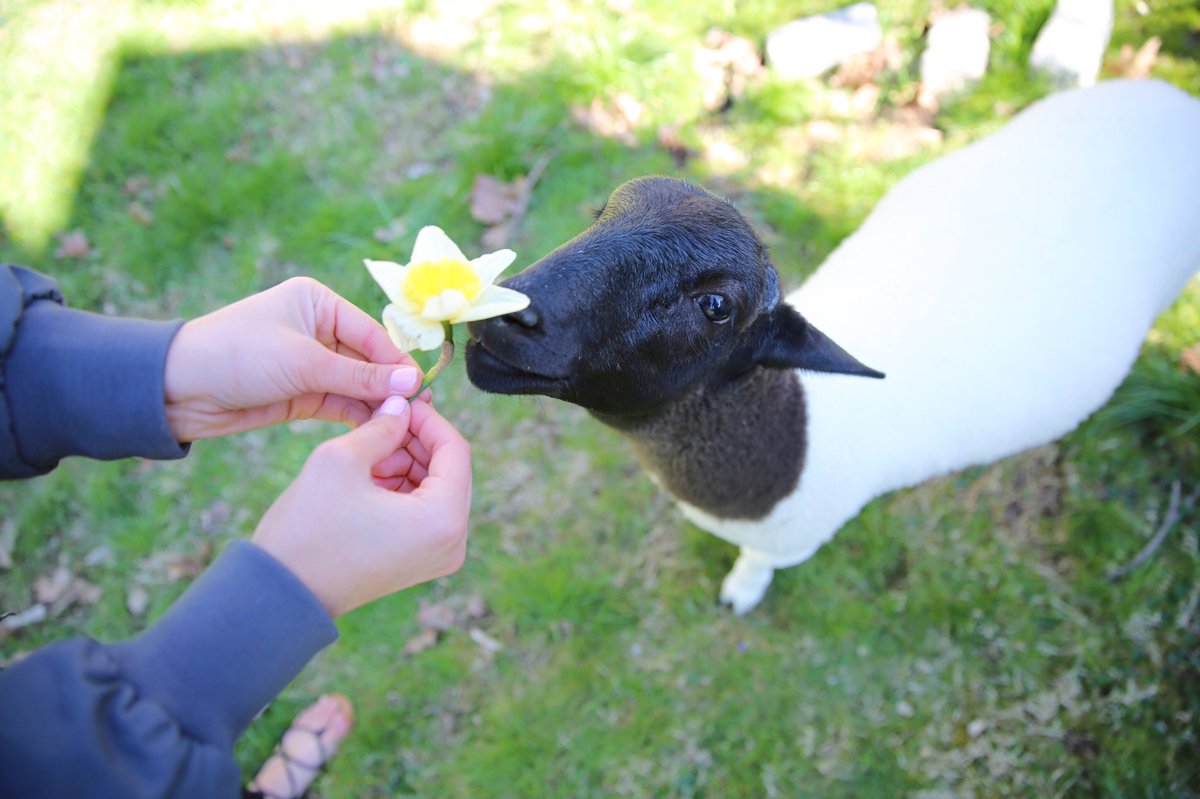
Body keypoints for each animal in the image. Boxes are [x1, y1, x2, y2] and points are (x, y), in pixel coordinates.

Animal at [465, 79, 1200, 614]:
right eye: (601, 214)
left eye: (716, 306)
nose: (505, 313)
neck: (794, 431)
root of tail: (1170, 94)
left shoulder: (787, 539)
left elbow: (757, 565)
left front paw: (740, 592)